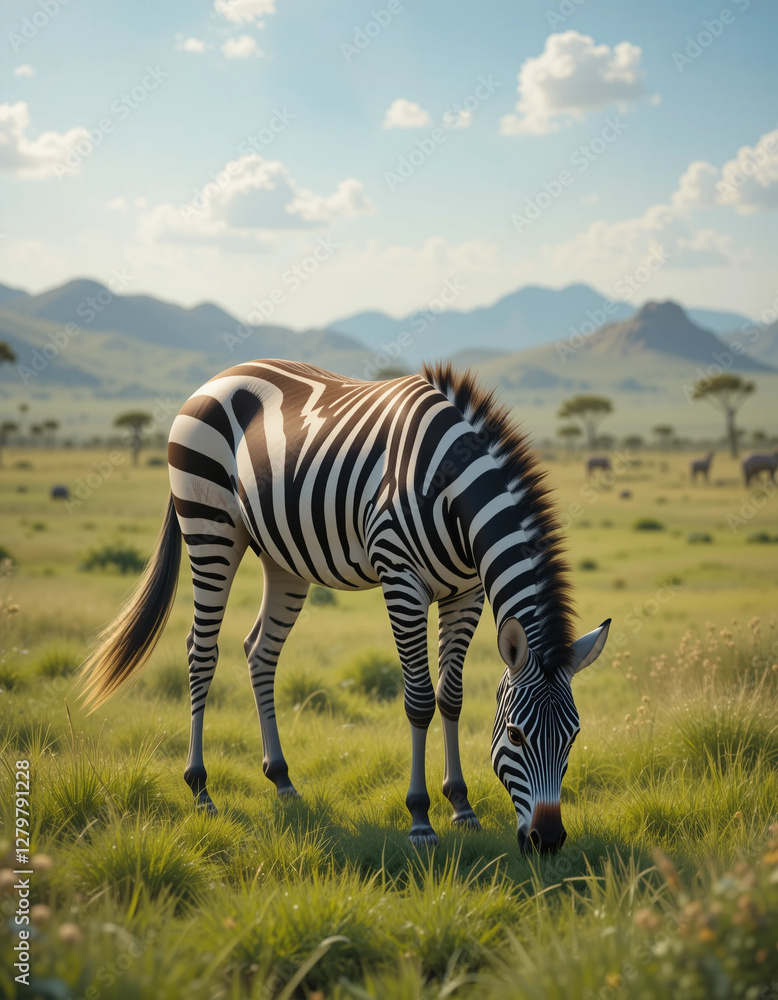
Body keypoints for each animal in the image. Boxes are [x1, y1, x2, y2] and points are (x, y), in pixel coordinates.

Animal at [81, 360, 610, 853]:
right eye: (517, 736)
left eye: (574, 736)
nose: (547, 841)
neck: (452, 486)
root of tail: (218, 377)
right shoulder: (400, 577)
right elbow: (419, 699)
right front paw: (420, 819)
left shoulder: (466, 592)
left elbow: (451, 696)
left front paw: (462, 807)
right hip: (210, 526)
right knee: (201, 650)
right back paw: (200, 789)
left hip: (283, 557)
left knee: (260, 650)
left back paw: (282, 780)